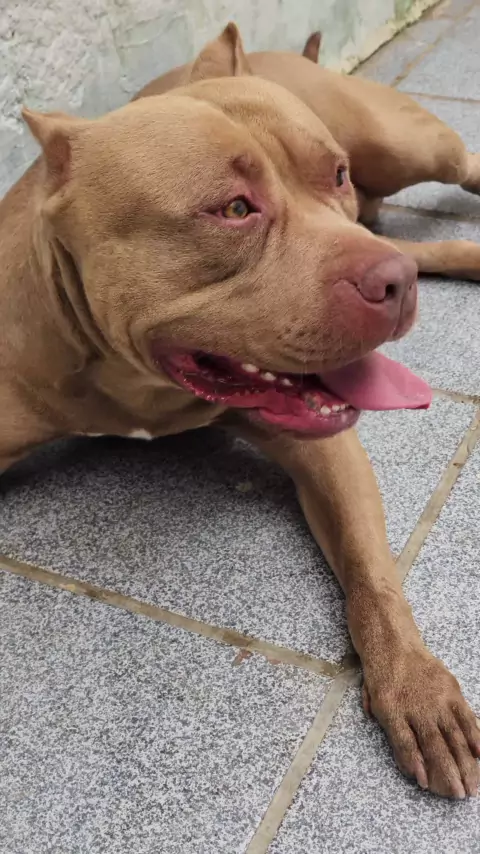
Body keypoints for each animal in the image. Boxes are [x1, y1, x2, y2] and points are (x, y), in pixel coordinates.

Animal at [1, 24, 479, 799]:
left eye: (335, 174)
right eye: (233, 210)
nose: (396, 284)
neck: (131, 383)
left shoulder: (325, 445)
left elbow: (373, 575)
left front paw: (416, 688)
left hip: (404, 150)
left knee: (458, 170)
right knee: (422, 239)